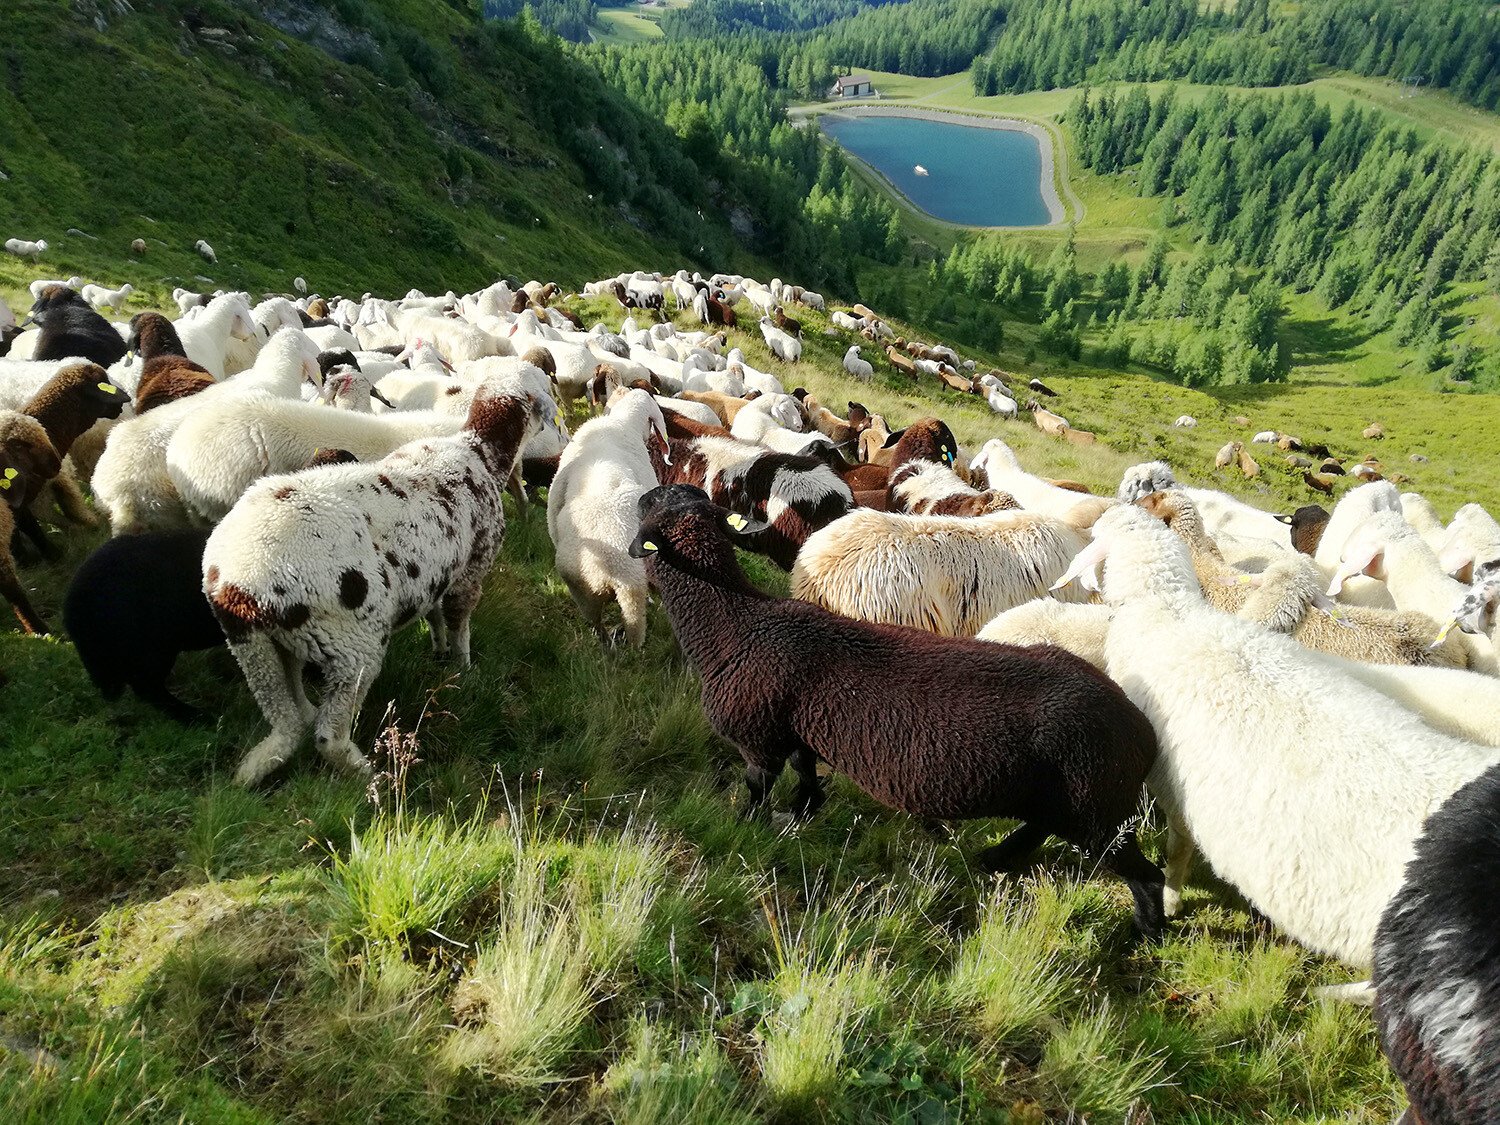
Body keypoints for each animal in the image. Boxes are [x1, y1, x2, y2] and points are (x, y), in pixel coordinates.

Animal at [546, 390, 669, 648]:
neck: (621, 421)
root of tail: (602, 569)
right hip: (633, 590)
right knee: (635, 636)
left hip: (581, 592)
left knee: (596, 624)